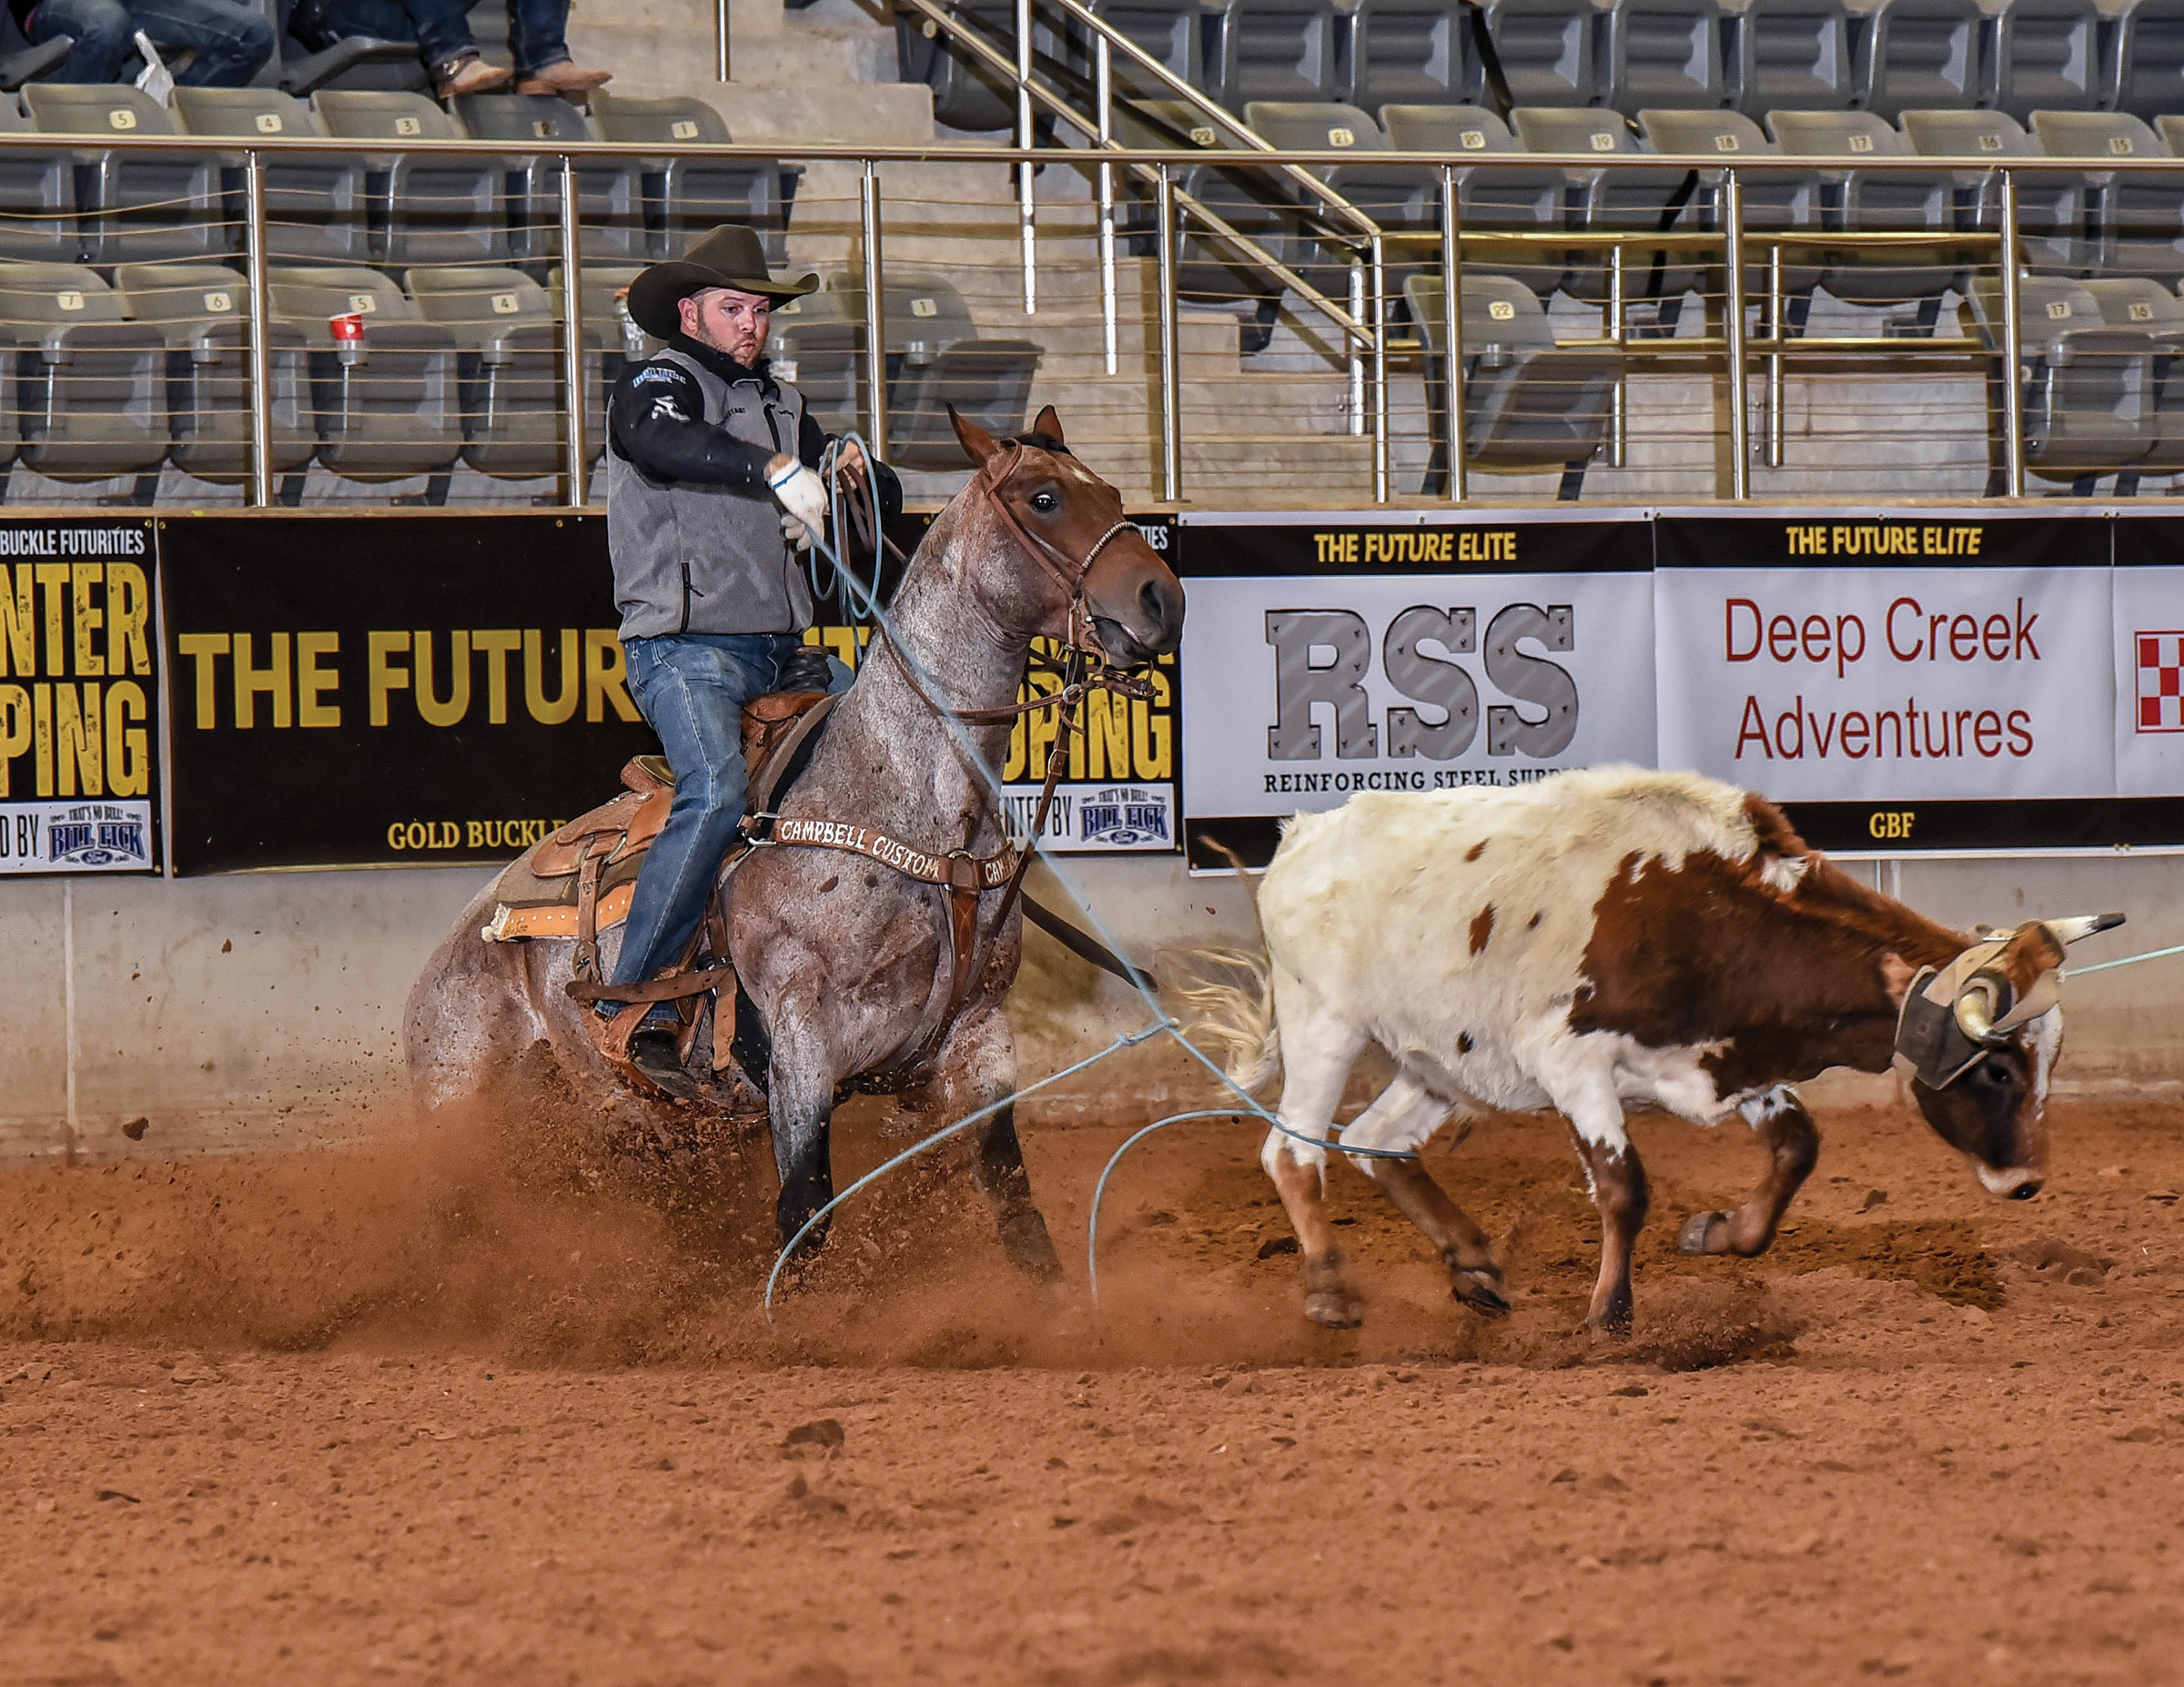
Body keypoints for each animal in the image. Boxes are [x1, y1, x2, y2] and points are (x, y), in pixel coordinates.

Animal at [410, 404, 1197, 1276]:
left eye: (1115, 493)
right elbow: (805, 1212)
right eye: (1046, 499)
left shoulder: (980, 1034)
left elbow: (1013, 1204)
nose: (1163, 599)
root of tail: (460, 945)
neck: (912, 804)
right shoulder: (801, 1043)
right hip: (469, 1112)